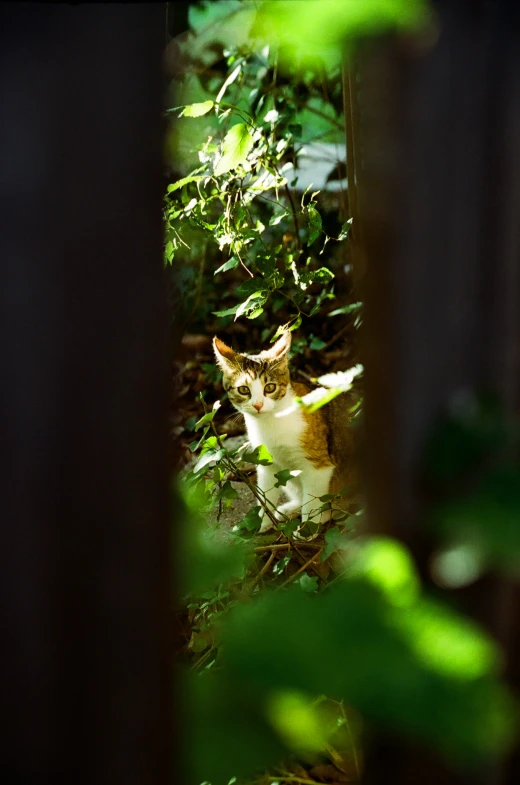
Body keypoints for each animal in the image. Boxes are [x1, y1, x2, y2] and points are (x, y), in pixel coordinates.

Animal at [211, 330, 358, 532]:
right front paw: (262, 522)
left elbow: (313, 500)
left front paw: (308, 528)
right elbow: (266, 493)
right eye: (243, 390)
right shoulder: (266, 461)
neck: (271, 422)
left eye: (270, 387)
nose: (258, 405)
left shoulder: (319, 465)